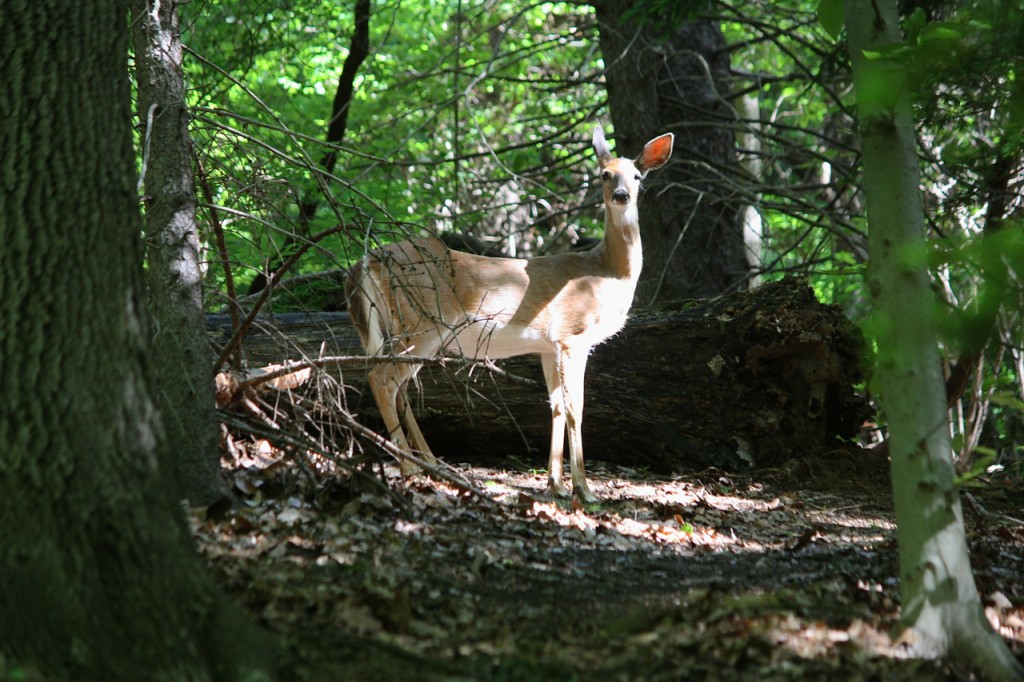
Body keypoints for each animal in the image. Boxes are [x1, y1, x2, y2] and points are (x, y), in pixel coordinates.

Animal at [348, 125, 675, 499]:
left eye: (637, 176)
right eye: (605, 174)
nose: (621, 195)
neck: (608, 272)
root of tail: (364, 262)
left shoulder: (548, 346)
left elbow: (556, 406)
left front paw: (556, 484)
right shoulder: (572, 335)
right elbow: (576, 407)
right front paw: (583, 489)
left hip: (402, 329)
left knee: (396, 385)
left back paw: (430, 462)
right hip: (422, 322)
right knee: (382, 379)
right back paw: (410, 466)